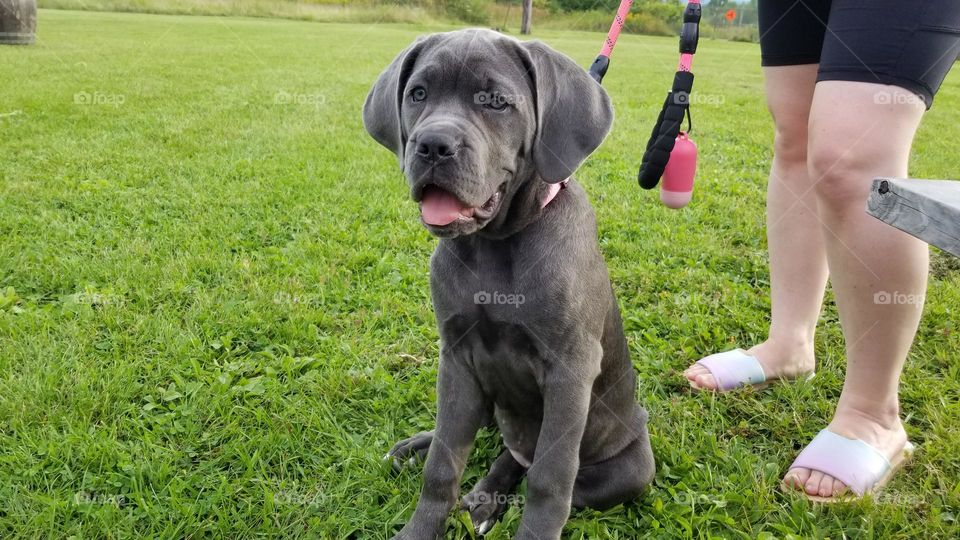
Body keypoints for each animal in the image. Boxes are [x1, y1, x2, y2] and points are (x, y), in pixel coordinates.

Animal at [364, 29, 656, 540]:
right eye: (417, 94)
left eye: (497, 102)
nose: (432, 145)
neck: (494, 246)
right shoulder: (456, 356)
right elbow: (444, 460)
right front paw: (420, 527)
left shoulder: (570, 369)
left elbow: (549, 477)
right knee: (485, 438)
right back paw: (428, 455)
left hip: (632, 464)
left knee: (528, 460)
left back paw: (486, 497)